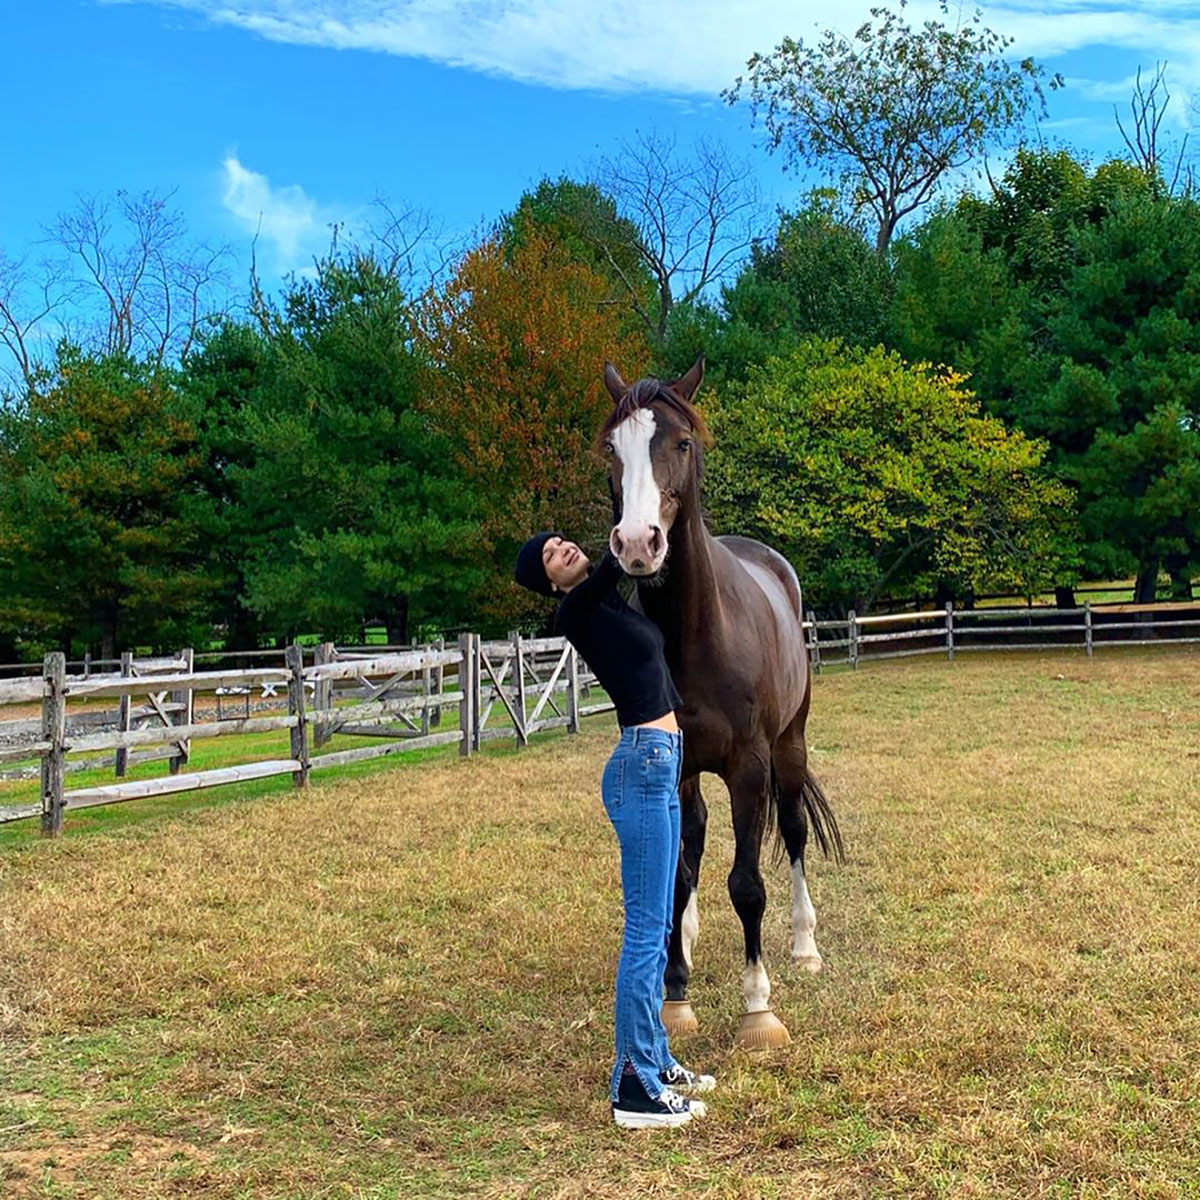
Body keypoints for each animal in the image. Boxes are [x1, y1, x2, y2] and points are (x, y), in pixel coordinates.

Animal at [600, 357, 844, 1051]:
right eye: (611, 449)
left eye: (682, 443)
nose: (638, 544)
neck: (696, 635)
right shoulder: (674, 763)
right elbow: (681, 870)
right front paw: (674, 996)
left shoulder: (748, 767)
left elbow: (747, 884)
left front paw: (758, 1005)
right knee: (693, 845)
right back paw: (681, 939)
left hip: (790, 745)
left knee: (792, 832)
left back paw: (804, 946)